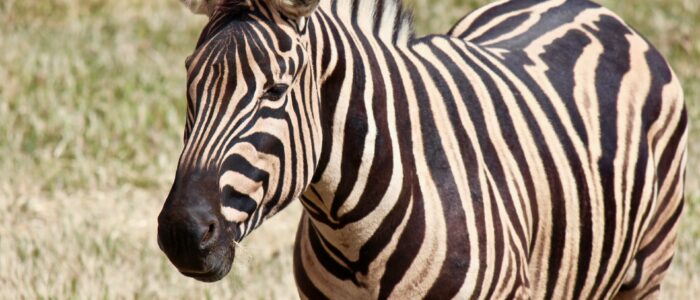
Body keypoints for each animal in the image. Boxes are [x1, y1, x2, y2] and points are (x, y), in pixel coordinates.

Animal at [156, 0, 688, 296]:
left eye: (275, 91)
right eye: (189, 84)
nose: (183, 233)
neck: (353, 237)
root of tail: (594, 9)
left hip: (646, 269)